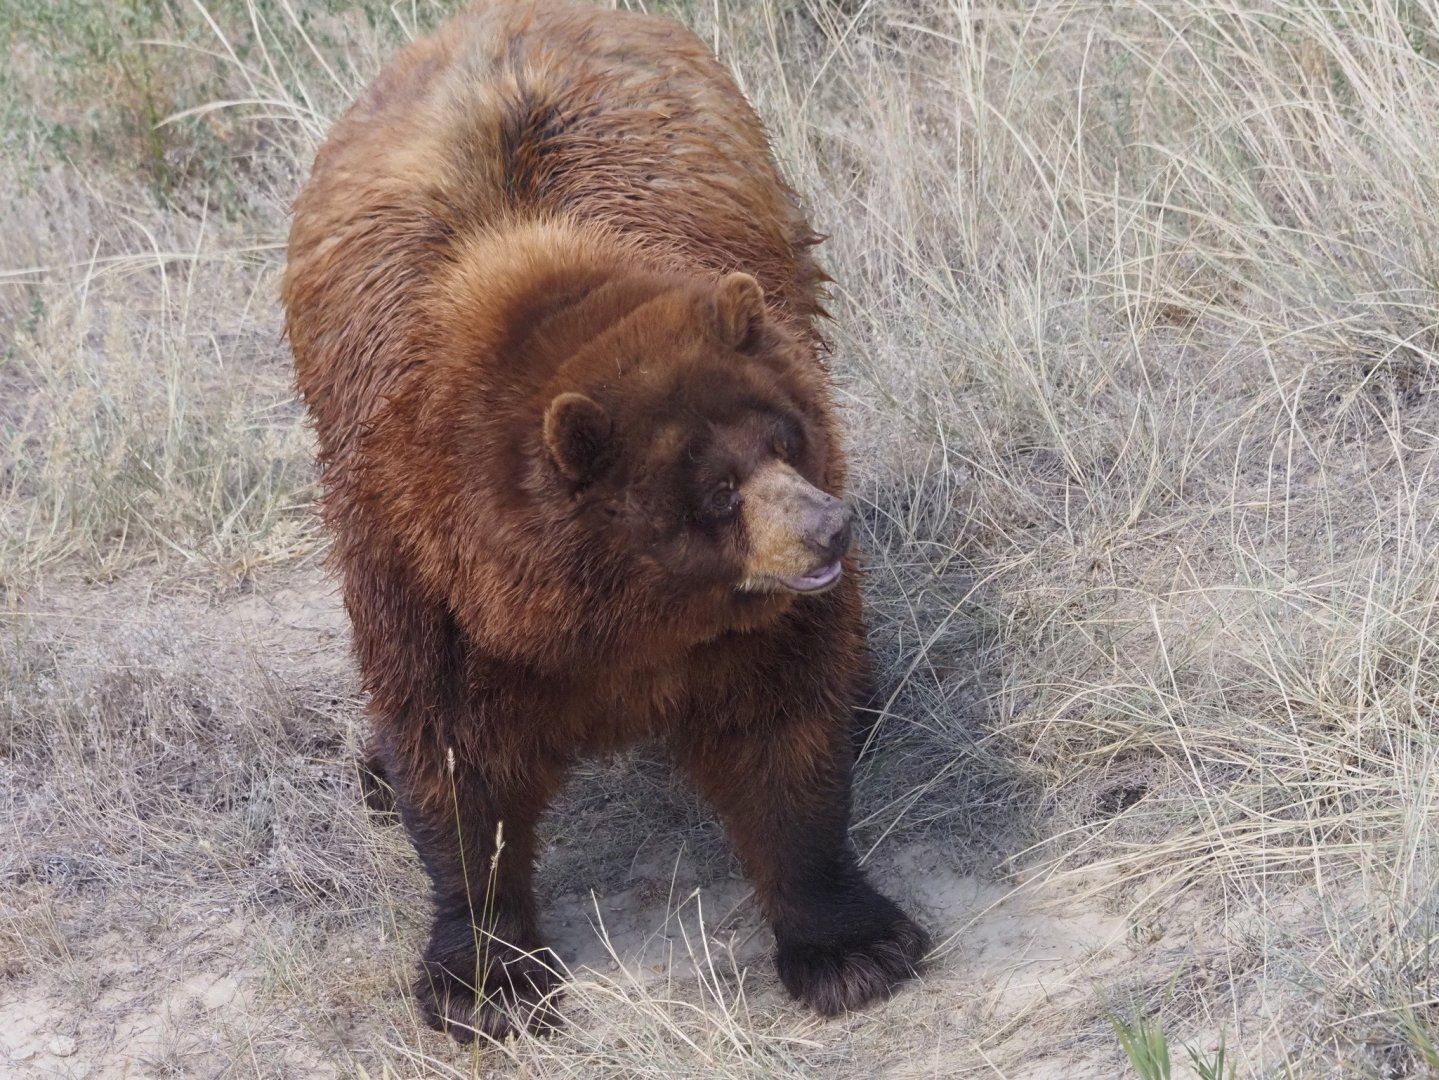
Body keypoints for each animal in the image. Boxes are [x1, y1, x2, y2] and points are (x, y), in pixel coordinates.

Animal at [282, 0, 927, 1042]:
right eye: (714, 489)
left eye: (783, 437)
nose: (828, 528)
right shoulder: (425, 579)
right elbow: (457, 764)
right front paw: (486, 981)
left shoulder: (750, 626)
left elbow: (781, 736)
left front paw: (850, 950)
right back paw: (373, 772)